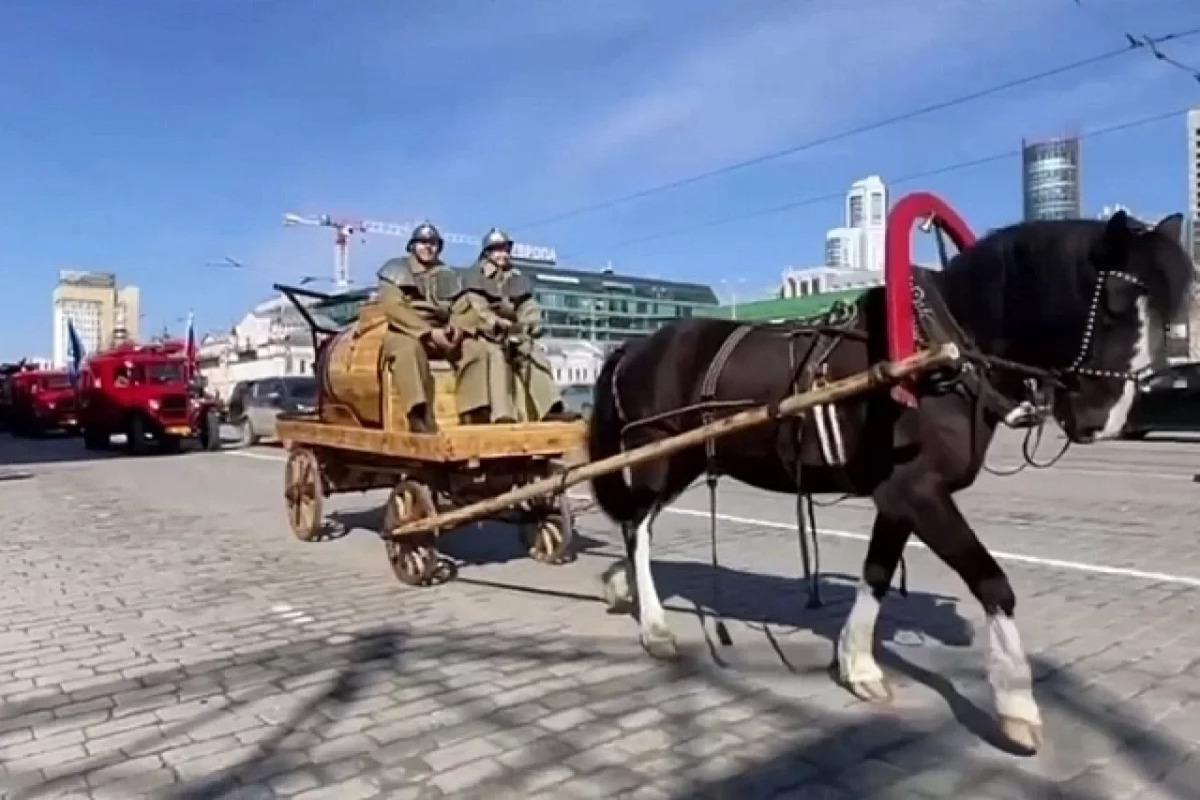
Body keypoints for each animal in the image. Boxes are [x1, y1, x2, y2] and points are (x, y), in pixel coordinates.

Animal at [588, 209, 1190, 753]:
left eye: (1168, 313)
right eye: (1112, 304)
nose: (1106, 420)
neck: (940, 351)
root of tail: (635, 345)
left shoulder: (899, 496)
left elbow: (877, 572)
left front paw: (858, 664)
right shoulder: (919, 492)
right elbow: (991, 581)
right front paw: (1017, 703)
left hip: (685, 461)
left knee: (637, 523)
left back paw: (622, 587)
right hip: (659, 457)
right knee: (637, 527)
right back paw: (654, 624)